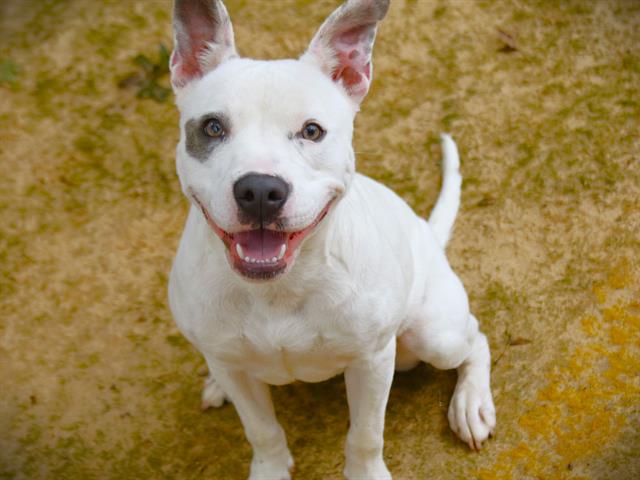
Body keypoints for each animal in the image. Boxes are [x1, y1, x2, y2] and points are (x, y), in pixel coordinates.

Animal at [169, 1, 496, 478]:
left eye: (312, 131)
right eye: (212, 128)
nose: (260, 191)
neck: (279, 291)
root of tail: (426, 234)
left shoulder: (372, 361)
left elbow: (365, 435)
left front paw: (366, 473)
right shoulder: (233, 366)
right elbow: (261, 430)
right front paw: (270, 468)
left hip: (434, 334)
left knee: (476, 339)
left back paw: (471, 403)